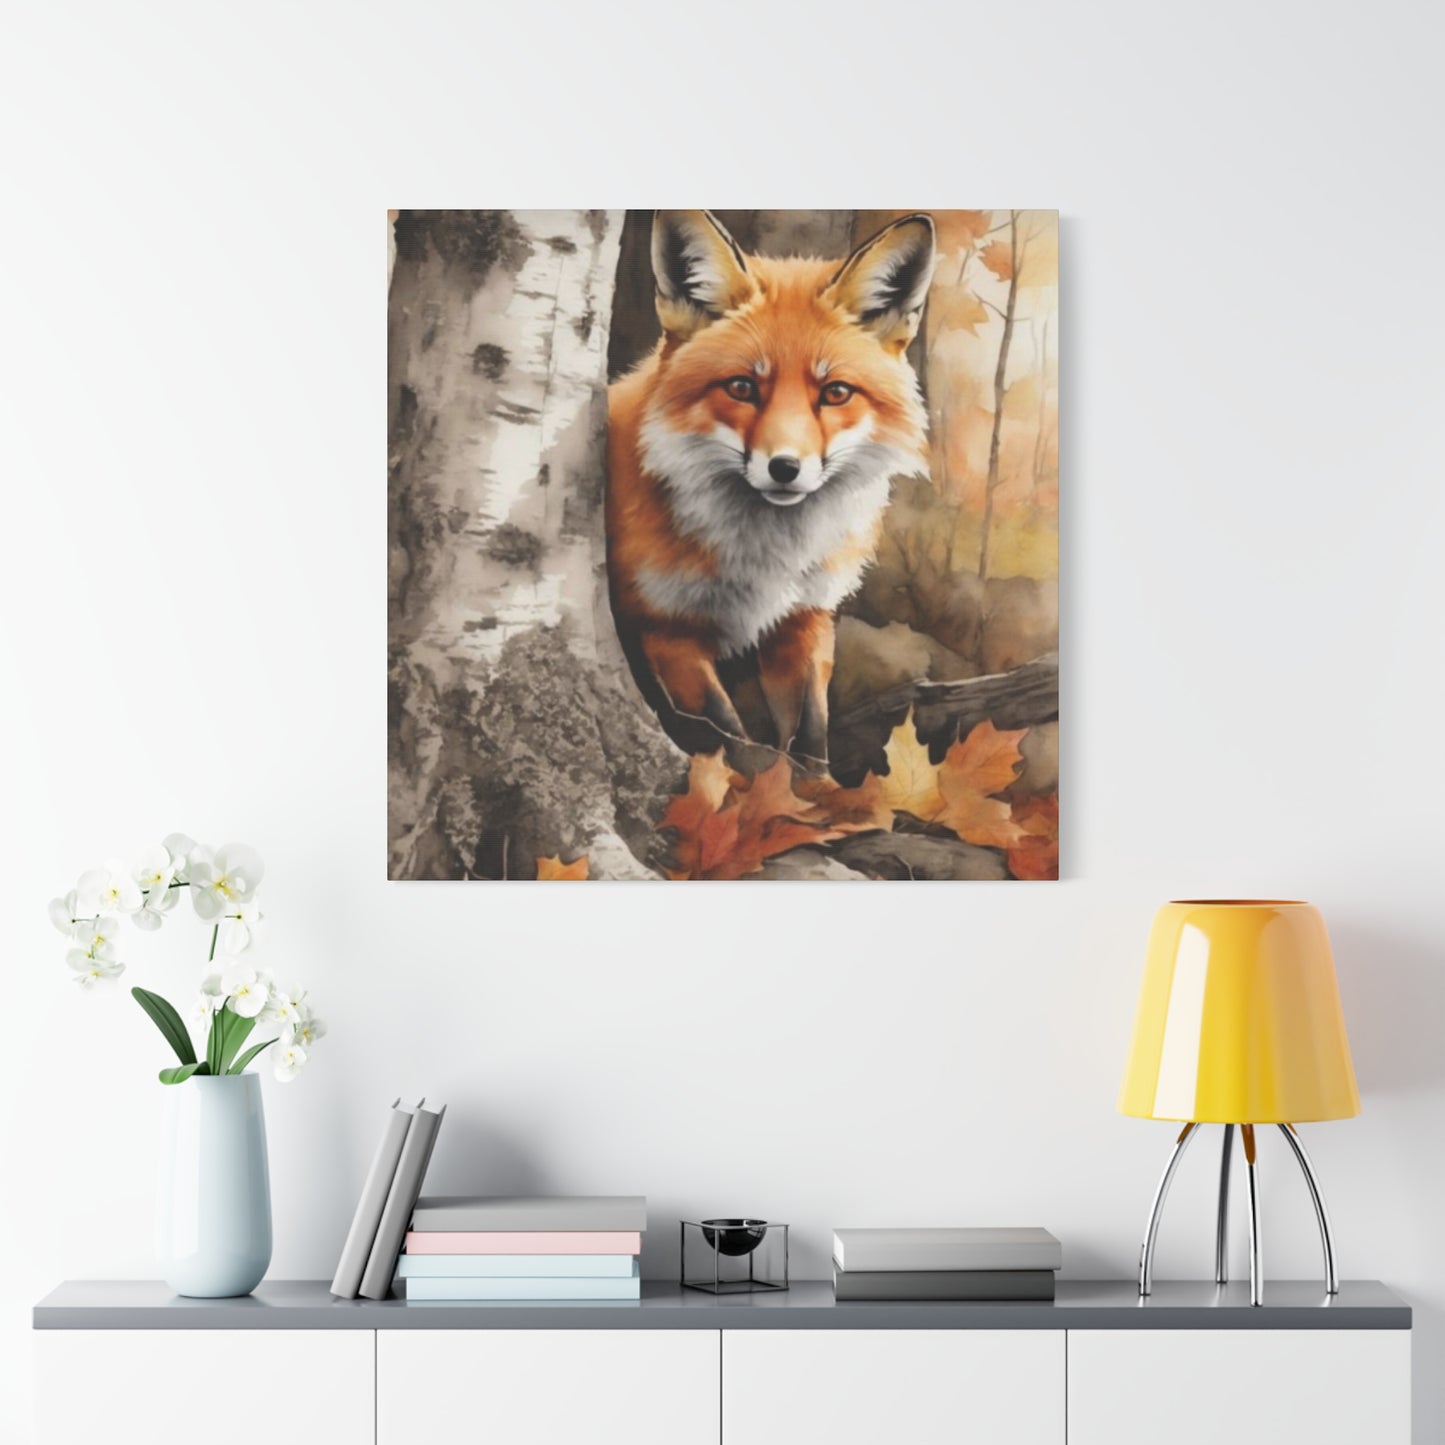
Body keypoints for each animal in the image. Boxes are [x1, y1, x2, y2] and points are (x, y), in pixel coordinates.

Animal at [607, 209, 936, 769]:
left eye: (835, 393)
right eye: (742, 387)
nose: (785, 468)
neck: (766, 559)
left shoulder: (805, 618)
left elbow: (810, 736)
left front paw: (818, 791)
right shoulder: (665, 629)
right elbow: (732, 740)